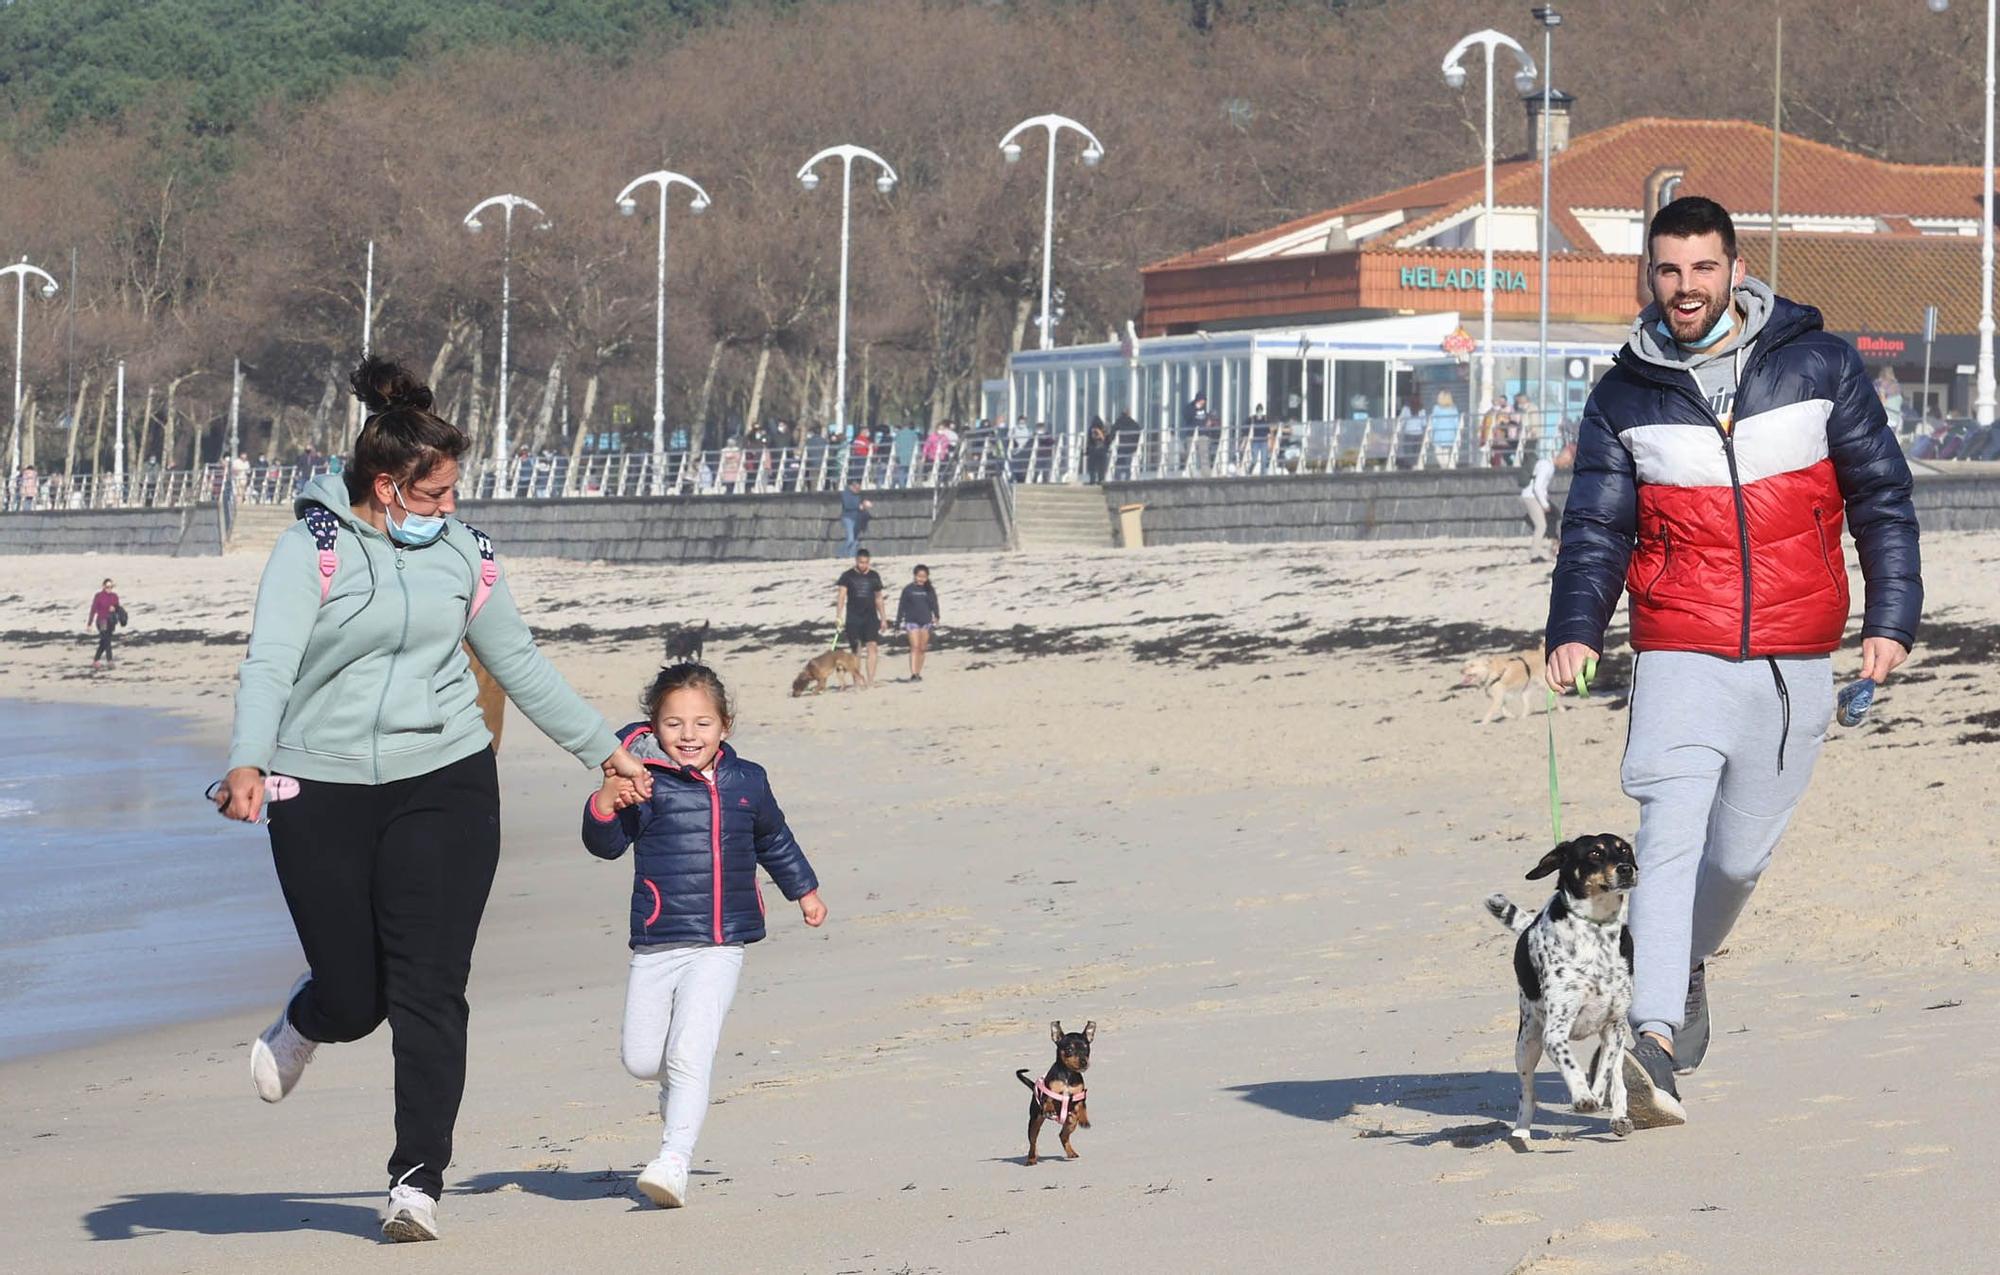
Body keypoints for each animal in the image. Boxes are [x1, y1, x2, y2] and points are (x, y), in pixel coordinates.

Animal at [1016, 1023, 1096, 1167]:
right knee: (1033, 1141)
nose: (1084, 1062)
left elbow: (1082, 1107)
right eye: (1069, 1049)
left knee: (1062, 1135)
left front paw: (1084, 1120)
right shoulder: (1049, 1091)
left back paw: (1071, 1152)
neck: (1068, 1075)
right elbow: (1048, 1099)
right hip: (1035, 1121)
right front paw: (1049, 1108)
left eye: (1087, 1049)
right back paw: (1031, 1158)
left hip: (1071, 1120)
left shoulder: (1080, 1095)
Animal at [1488, 835, 1640, 1151]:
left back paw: (1619, 1116)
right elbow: (1571, 1066)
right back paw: (1520, 1134)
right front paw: (1582, 1097)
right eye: (1594, 853)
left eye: (1625, 849)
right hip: (1527, 1044)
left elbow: (1605, 1071)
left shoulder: (1614, 1026)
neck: (1596, 930)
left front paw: (1595, 1097)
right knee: (1528, 1095)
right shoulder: (1555, 1033)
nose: (1626, 869)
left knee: (1618, 1077)